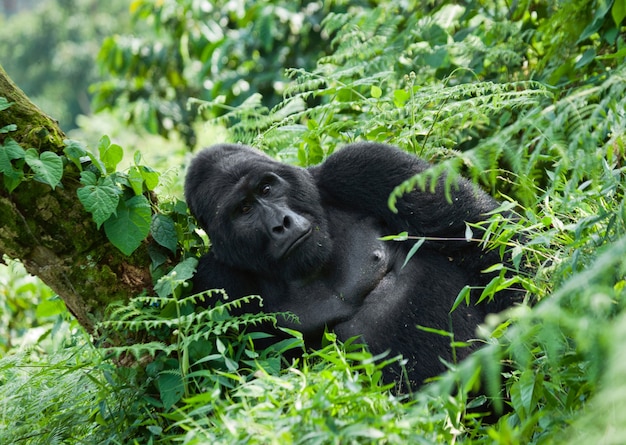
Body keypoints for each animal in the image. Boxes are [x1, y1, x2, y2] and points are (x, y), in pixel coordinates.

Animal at [185, 143, 516, 388]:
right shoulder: (217, 281)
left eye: (266, 188)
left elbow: (482, 238)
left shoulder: (362, 165)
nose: (282, 223)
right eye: (243, 209)